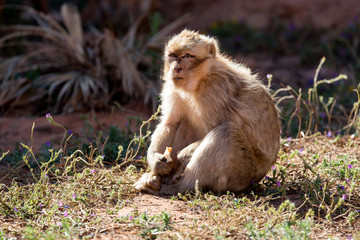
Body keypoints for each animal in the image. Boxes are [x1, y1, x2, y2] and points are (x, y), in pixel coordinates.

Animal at [134, 29, 280, 195]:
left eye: (187, 56)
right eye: (173, 56)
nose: (176, 68)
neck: (199, 80)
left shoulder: (213, 92)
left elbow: (213, 129)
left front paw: (182, 156)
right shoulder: (173, 86)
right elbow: (170, 123)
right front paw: (156, 162)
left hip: (244, 174)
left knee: (226, 132)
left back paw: (181, 187)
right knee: (185, 122)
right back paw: (155, 179)